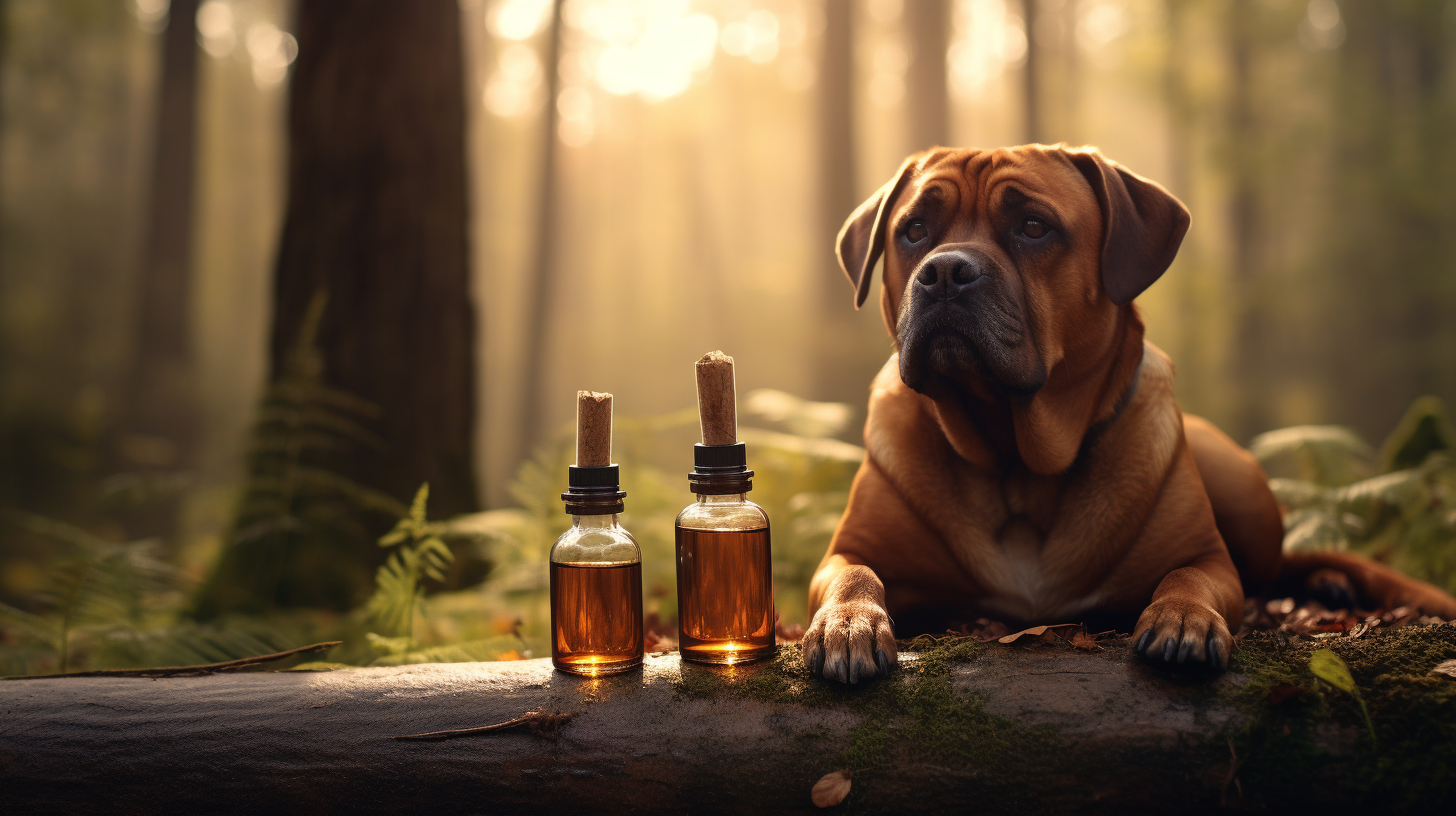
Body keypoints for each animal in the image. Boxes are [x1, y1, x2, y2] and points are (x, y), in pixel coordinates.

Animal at [803, 144, 1456, 681]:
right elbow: (853, 575)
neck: (1016, 459)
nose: (942, 270)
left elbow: (1189, 575)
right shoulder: (847, 552)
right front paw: (849, 625)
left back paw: (1328, 580)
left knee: (1277, 565)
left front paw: (1183, 617)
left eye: (1033, 227)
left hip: (1239, 487)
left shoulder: (1207, 557)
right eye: (914, 230)